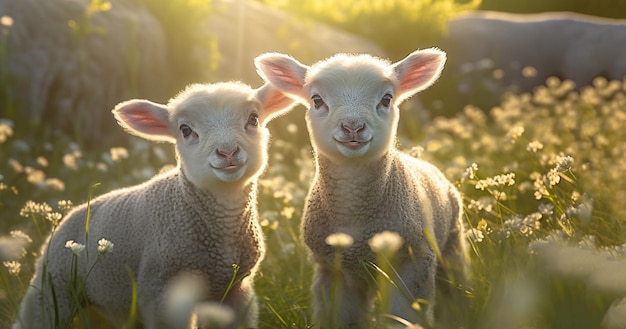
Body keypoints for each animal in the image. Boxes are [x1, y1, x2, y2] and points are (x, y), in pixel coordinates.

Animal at [12, 80, 294, 326]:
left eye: (253, 119)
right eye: (185, 130)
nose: (227, 152)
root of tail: (61, 223)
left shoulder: (237, 290)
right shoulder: (159, 290)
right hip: (53, 292)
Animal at [255, 48, 468, 326]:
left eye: (387, 99)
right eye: (317, 100)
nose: (353, 127)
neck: (355, 213)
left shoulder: (413, 261)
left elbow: (405, 316)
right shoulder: (333, 270)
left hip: (452, 242)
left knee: (454, 289)